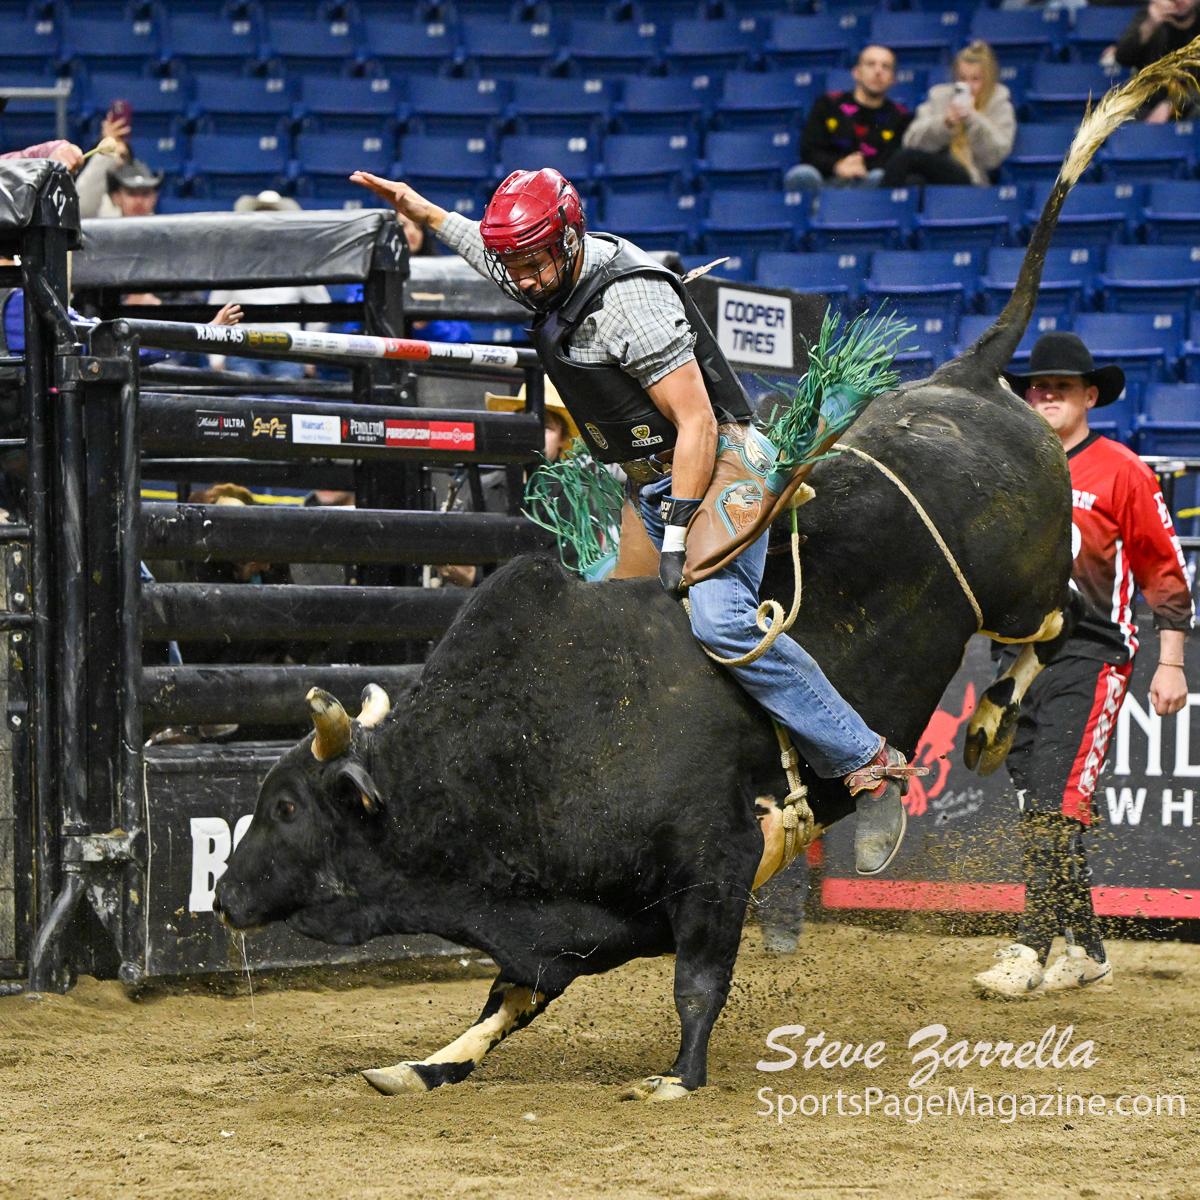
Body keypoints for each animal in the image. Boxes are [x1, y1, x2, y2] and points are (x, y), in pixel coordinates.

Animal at [212, 82, 1153, 1101]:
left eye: (289, 809)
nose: (222, 893)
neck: (518, 746)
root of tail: (968, 375)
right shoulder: (558, 925)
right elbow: (507, 997)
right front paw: (425, 1064)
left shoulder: (717, 864)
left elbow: (697, 980)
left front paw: (677, 1076)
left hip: (1023, 582)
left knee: (1066, 628)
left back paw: (977, 726)